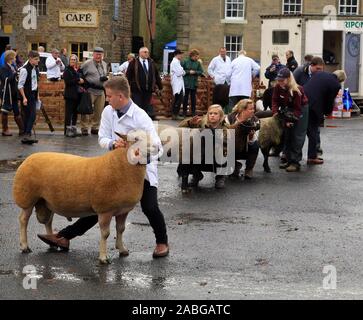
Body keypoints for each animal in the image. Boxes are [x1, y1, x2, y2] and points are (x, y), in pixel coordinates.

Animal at [12, 131, 149, 264]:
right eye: (136, 139)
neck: (123, 165)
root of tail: (29, 157)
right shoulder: (105, 209)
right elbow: (105, 234)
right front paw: (103, 258)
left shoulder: (123, 210)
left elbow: (120, 230)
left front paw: (122, 249)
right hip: (27, 198)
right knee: (23, 220)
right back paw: (25, 246)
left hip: (46, 201)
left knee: (48, 221)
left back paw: (52, 242)